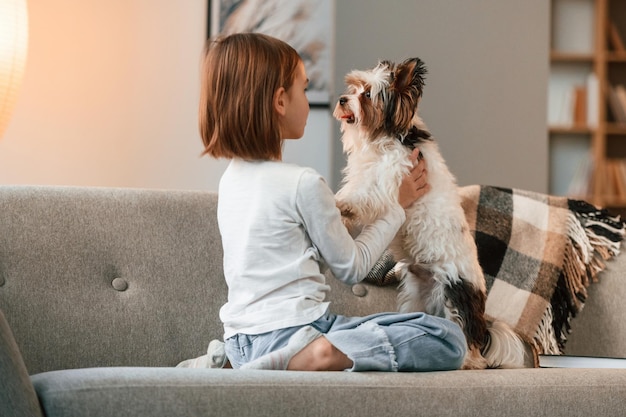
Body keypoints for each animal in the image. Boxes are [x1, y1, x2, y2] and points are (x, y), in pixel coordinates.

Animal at [334, 57, 524, 368]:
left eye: (368, 95)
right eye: (353, 88)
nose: (341, 99)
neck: (387, 138)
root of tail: (482, 319)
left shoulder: (390, 180)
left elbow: (367, 196)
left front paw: (345, 206)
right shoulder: (366, 173)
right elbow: (356, 188)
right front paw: (341, 209)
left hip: (454, 296)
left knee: (470, 347)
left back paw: (464, 361)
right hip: (418, 296)